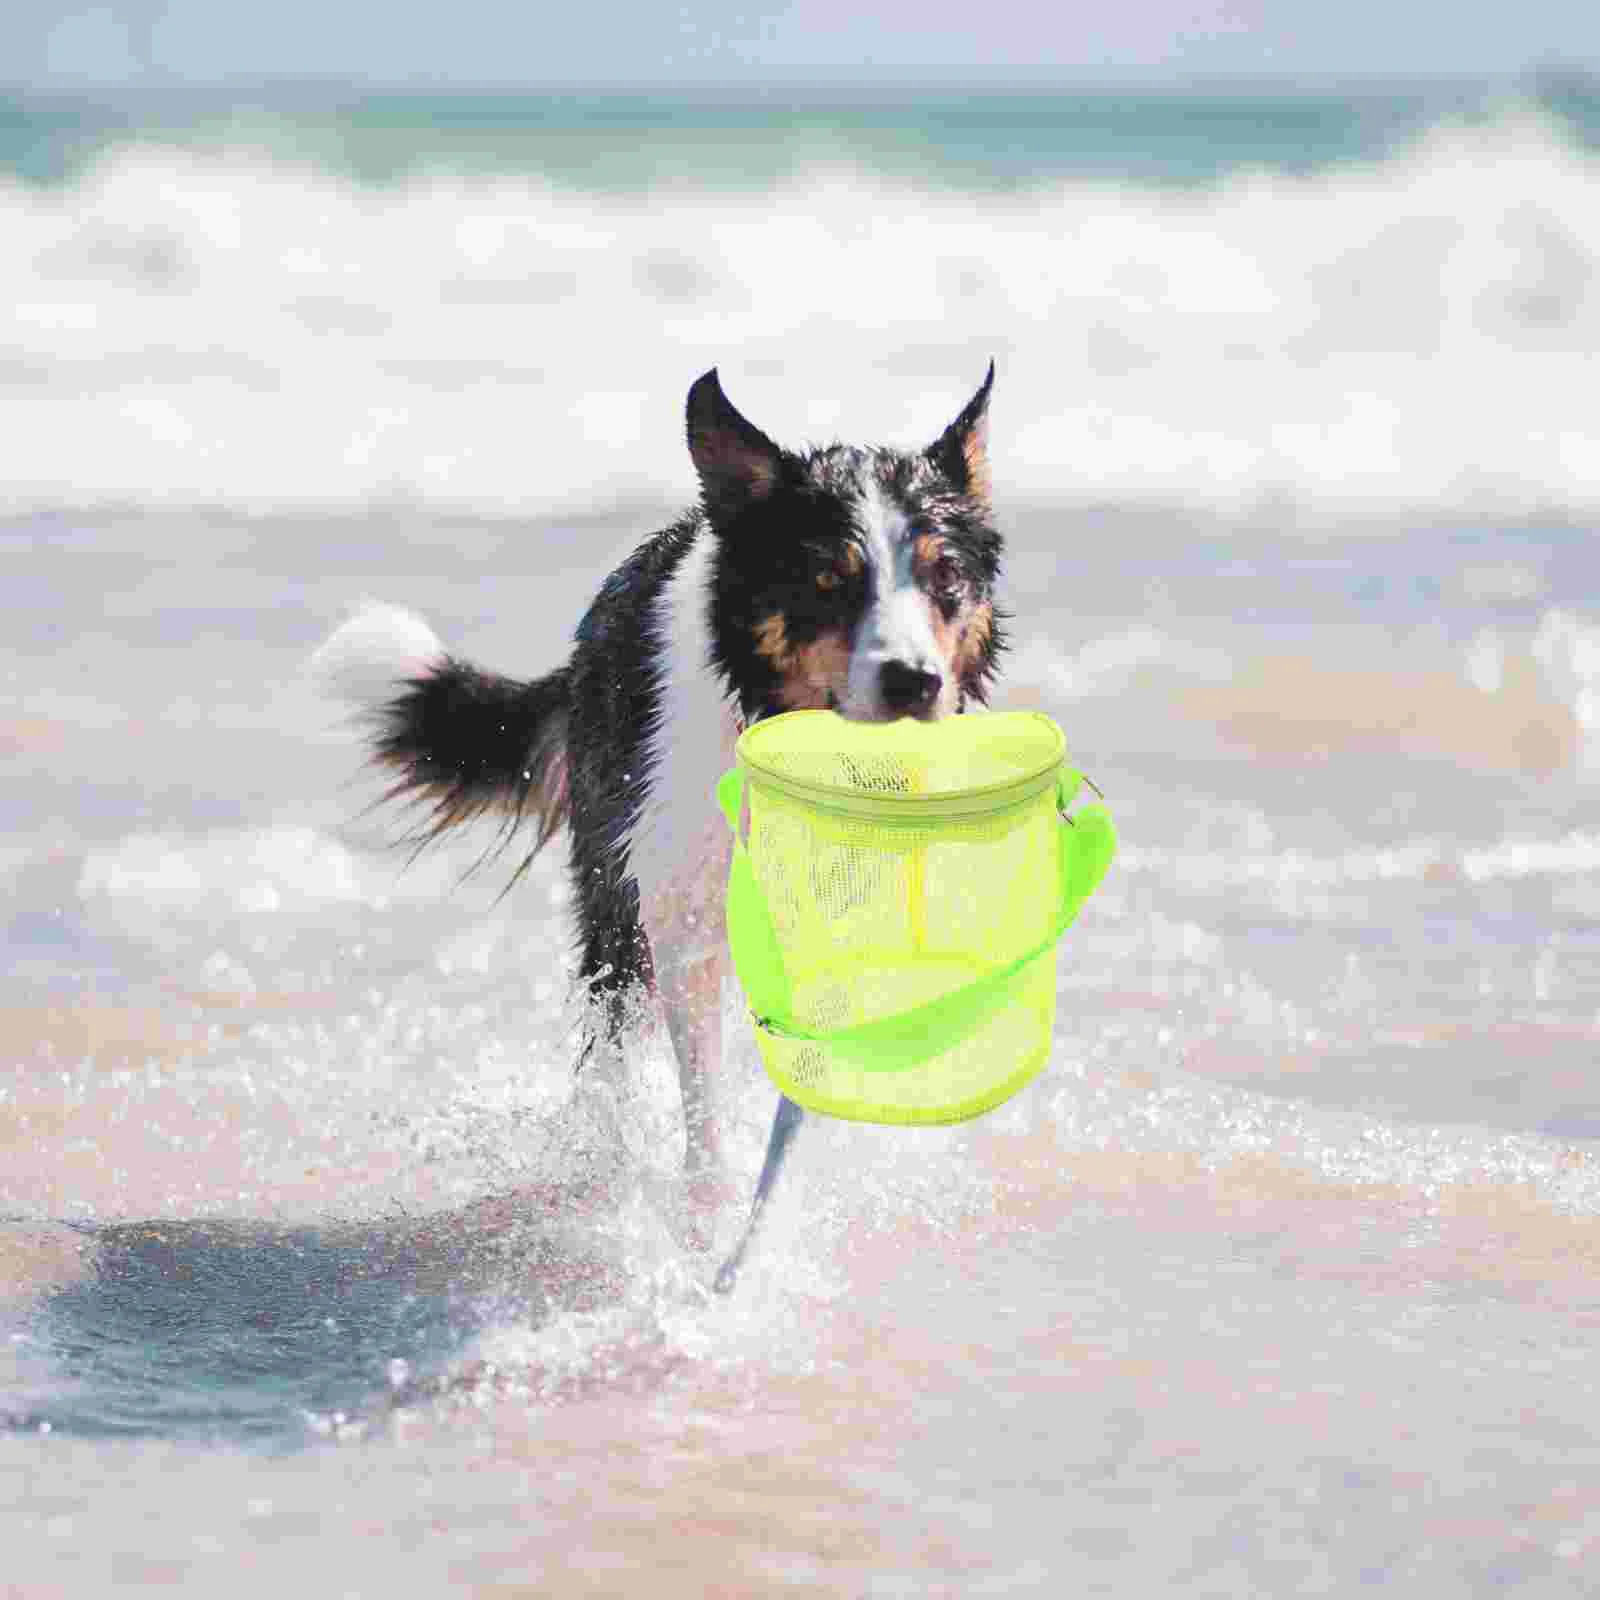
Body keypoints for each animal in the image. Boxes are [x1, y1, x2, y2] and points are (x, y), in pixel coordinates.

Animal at [318, 368, 1004, 1267]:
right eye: (828, 579)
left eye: (944, 577)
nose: (913, 682)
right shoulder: (679, 919)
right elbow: (702, 1102)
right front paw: (706, 1237)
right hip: (613, 887)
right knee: (613, 1047)